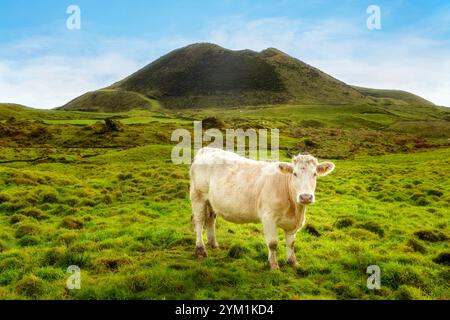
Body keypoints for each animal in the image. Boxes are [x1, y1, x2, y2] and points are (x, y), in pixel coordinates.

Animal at [189, 149, 334, 268]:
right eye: (294, 173)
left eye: (314, 174)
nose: (305, 197)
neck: (295, 210)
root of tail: (206, 150)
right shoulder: (268, 217)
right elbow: (272, 243)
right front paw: (273, 265)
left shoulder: (293, 223)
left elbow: (291, 243)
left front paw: (293, 262)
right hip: (198, 195)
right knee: (199, 221)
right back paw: (200, 250)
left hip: (211, 201)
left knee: (210, 219)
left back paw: (214, 244)